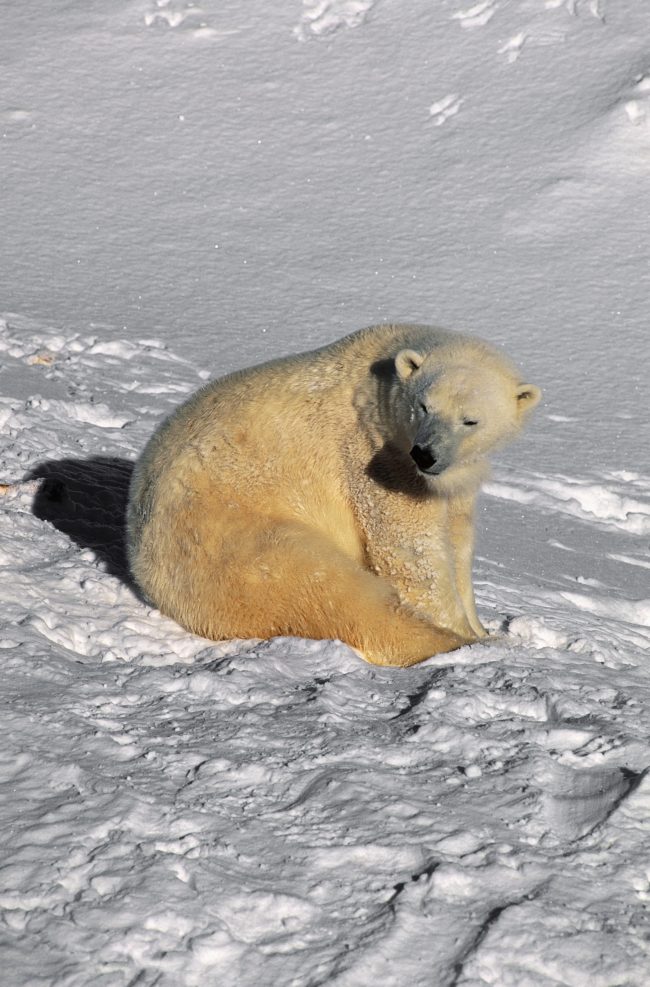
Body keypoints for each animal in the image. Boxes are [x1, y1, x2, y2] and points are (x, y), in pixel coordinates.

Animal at [126, 328, 536, 668]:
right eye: (424, 406)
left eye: (470, 420)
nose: (426, 454)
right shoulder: (377, 454)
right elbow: (412, 551)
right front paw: (467, 632)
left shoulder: (451, 478)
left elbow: (458, 540)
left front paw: (479, 626)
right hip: (233, 538)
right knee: (332, 591)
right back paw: (454, 645)